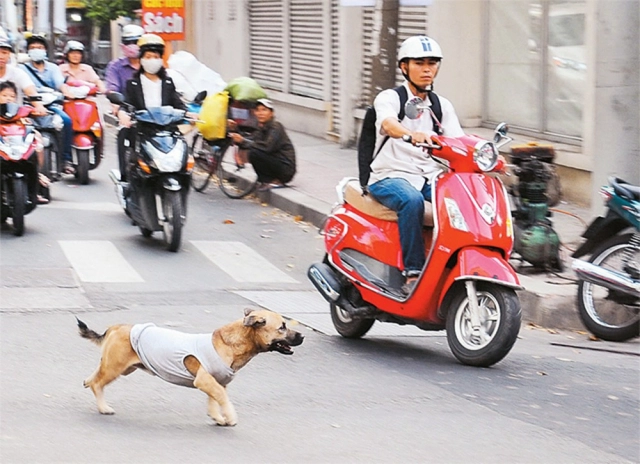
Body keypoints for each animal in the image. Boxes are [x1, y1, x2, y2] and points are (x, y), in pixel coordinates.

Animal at [76, 310, 304, 426]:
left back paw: (88, 382)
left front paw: (217, 417)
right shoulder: (205, 380)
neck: (231, 343)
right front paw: (230, 417)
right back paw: (103, 407)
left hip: (118, 366)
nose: (302, 336)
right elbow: (222, 398)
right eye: (282, 327)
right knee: (98, 384)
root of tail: (117, 326)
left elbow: (215, 399)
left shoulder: (214, 382)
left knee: (95, 376)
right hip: (116, 367)